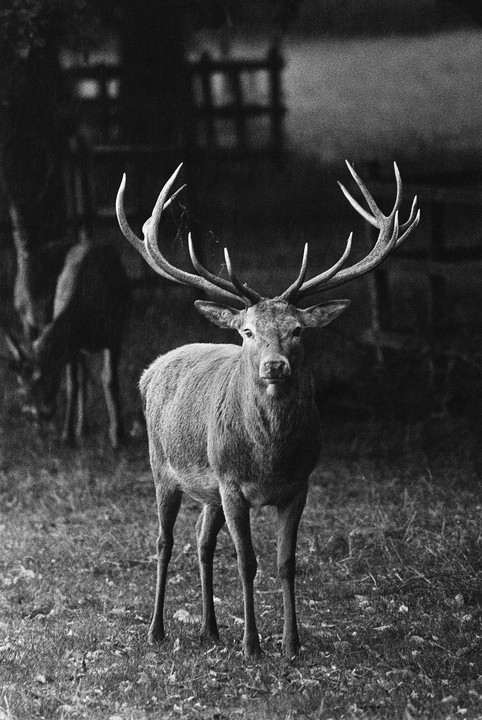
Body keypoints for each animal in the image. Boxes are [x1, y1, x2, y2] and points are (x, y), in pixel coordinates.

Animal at [3, 233, 130, 449]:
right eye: (20, 381)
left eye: (43, 378)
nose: (34, 415)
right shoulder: (72, 345)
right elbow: (73, 385)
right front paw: (67, 435)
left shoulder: (114, 335)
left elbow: (109, 380)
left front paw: (117, 436)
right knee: (83, 378)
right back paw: (82, 427)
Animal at [116, 161, 420, 658]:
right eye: (247, 331)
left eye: (298, 329)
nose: (274, 365)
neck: (269, 459)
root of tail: (150, 369)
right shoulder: (232, 483)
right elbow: (247, 562)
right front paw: (252, 645)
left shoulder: (300, 485)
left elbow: (285, 562)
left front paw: (292, 645)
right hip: (163, 465)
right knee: (164, 541)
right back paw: (156, 630)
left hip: (209, 490)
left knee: (201, 541)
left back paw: (210, 629)